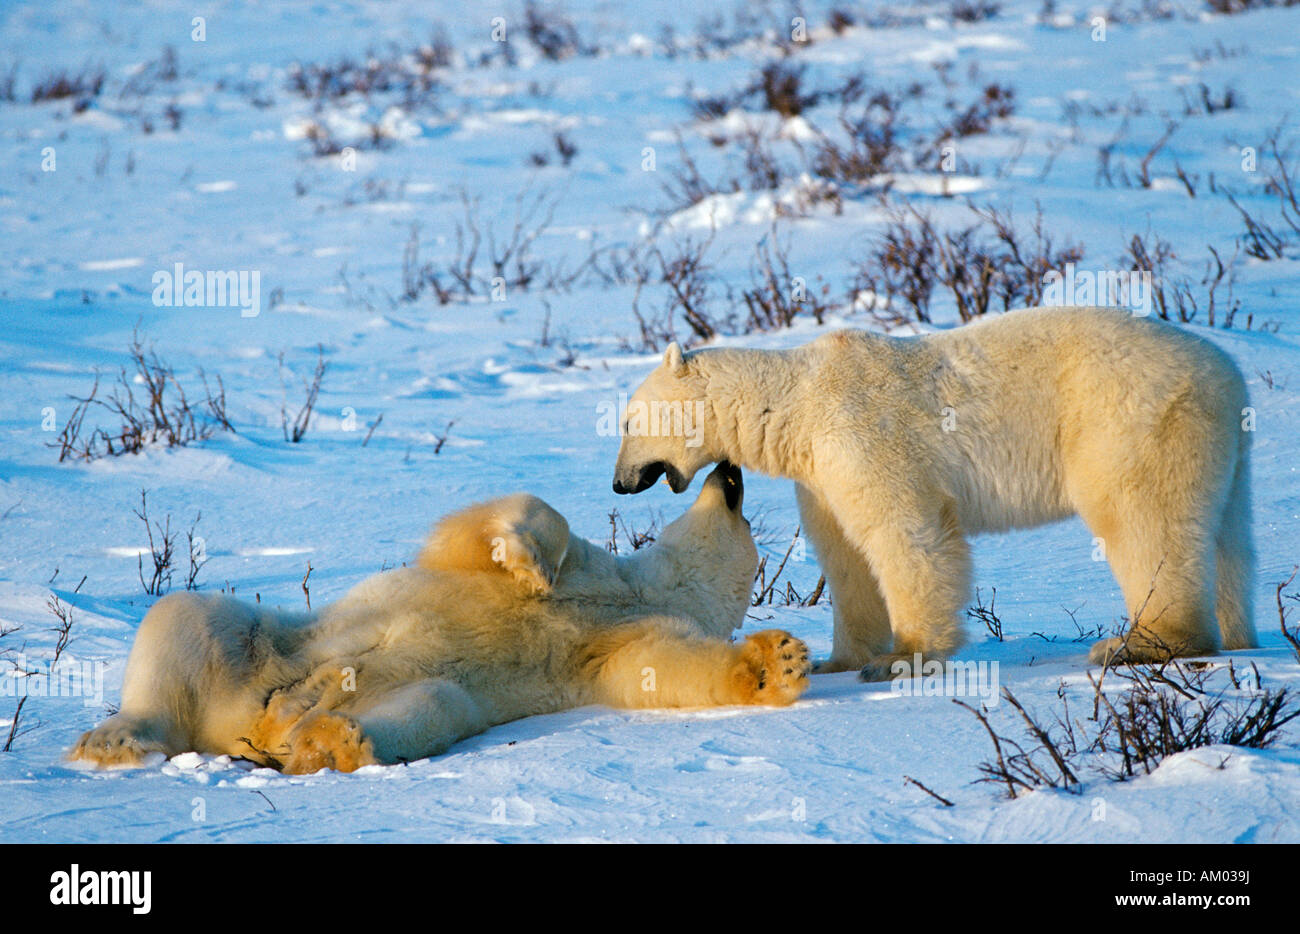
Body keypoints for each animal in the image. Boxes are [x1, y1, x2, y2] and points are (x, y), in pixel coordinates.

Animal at [73, 460, 811, 775]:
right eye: (741, 503)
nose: (731, 469)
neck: (634, 592)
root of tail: (241, 724)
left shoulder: (617, 645)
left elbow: (666, 671)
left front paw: (779, 662)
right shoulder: (589, 571)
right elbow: (506, 525)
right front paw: (526, 562)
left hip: (409, 693)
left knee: (427, 705)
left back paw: (326, 743)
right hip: (271, 643)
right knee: (182, 616)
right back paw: (113, 739)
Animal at [616, 306, 1258, 681]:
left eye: (624, 422)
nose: (618, 483)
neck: (796, 403)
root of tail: (1229, 373)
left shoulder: (864, 433)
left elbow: (905, 534)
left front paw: (903, 657)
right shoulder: (821, 474)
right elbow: (845, 555)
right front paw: (836, 660)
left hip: (1125, 419)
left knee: (1141, 517)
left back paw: (1141, 644)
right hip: (1217, 444)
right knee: (1227, 536)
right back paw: (1238, 633)